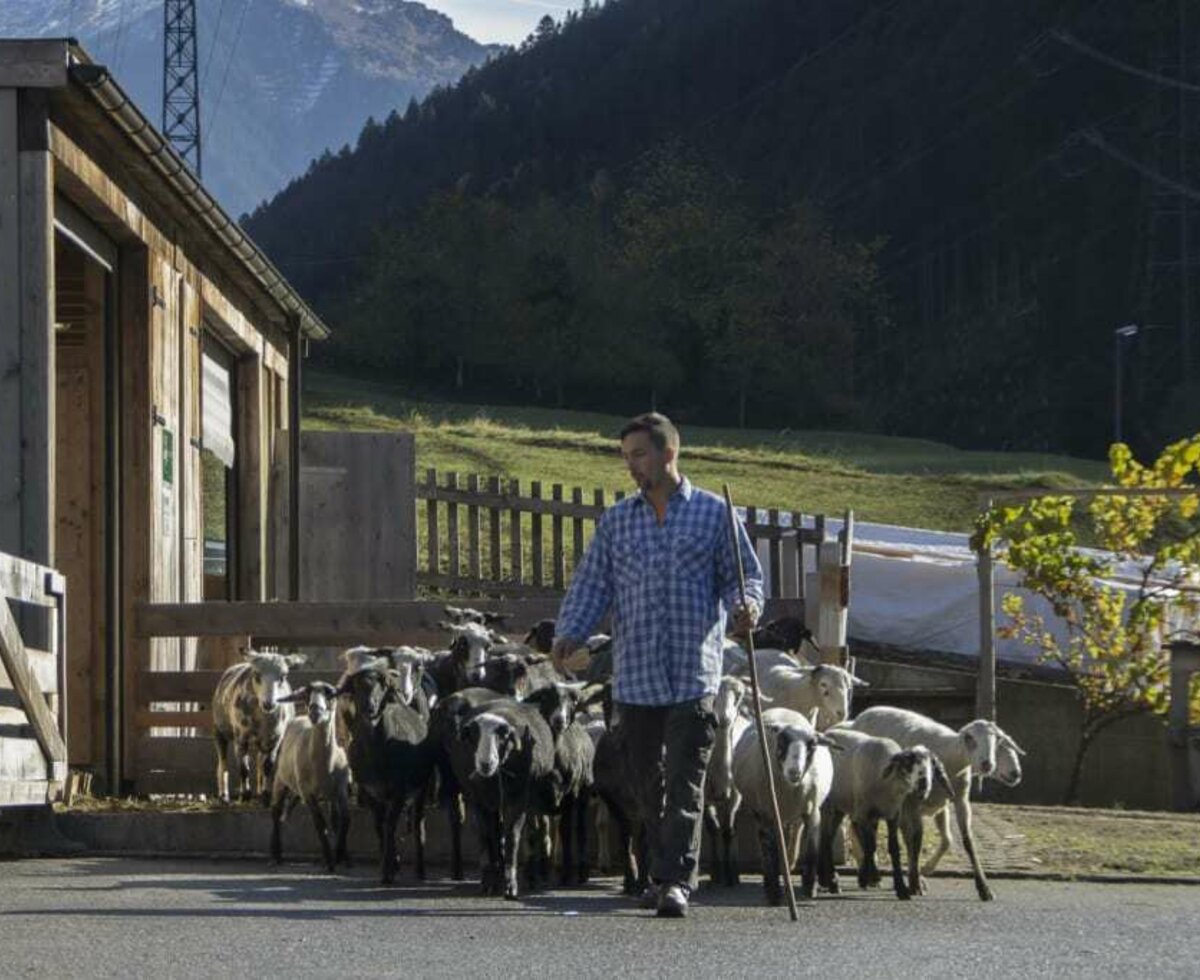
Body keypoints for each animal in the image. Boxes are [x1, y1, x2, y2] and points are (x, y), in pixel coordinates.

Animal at [216, 647, 309, 801]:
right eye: (256, 674)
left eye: (283, 676)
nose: (268, 703)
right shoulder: (240, 736)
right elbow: (243, 767)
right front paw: (245, 794)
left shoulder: (275, 739)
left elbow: (268, 766)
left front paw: (265, 795)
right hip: (220, 731)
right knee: (223, 762)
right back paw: (224, 795)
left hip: (261, 742)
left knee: (260, 761)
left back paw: (259, 792)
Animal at [270, 681, 350, 873]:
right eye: (307, 696)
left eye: (330, 695)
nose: (315, 712)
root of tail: (299, 718)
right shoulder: (308, 794)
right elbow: (320, 824)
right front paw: (330, 861)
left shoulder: (341, 790)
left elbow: (344, 820)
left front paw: (341, 854)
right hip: (280, 779)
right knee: (276, 812)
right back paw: (276, 855)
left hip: (328, 795)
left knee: (335, 820)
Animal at [729, 705, 835, 902]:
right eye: (782, 741)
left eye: (812, 745)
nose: (794, 771)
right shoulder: (766, 813)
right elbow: (770, 852)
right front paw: (773, 893)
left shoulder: (812, 810)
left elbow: (811, 850)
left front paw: (810, 888)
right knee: (770, 846)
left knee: (793, 837)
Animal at [820, 729, 950, 897]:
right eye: (908, 763)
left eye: (932, 765)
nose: (923, 785)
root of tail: (828, 731)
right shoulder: (864, 814)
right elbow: (870, 846)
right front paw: (863, 879)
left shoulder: (893, 815)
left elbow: (894, 848)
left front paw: (901, 888)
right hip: (828, 805)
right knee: (825, 839)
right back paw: (831, 882)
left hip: (839, 807)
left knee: (828, 839)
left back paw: (828, 881)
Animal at [844, 705, 1012, 902]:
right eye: (970, 738)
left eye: (997, 739)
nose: (987, 764)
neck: (952, 759)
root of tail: (868, 711)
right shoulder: (914, 804)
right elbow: (917, 840)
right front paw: (915, 883)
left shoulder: (956, 801)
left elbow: (962, 841)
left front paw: (983, 888)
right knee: (861, 827)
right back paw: (872, 874)